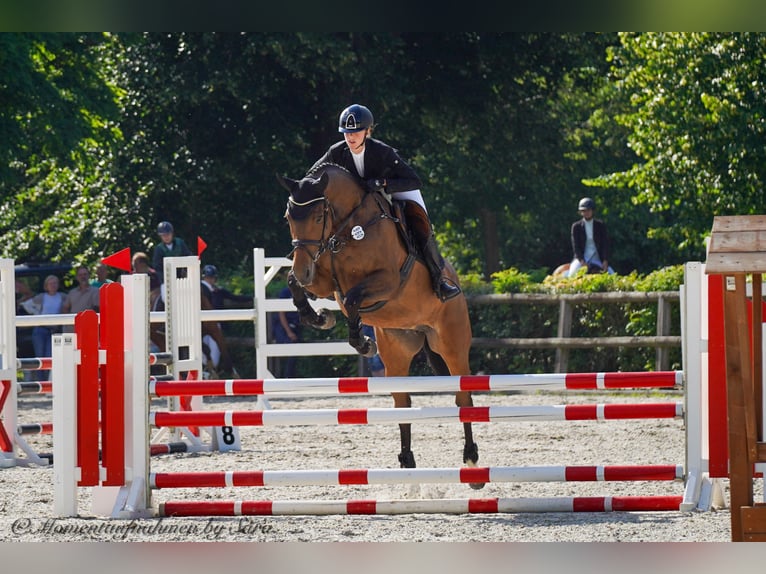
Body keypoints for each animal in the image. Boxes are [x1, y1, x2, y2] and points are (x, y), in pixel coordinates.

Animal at [278, 163, 486, 490]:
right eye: (289, 218)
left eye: (318, 217)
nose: (302, 268)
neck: (347, 229)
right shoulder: (324, 281)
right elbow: (295, 285)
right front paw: (319, 317)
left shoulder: (387, 281)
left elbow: (352, 299)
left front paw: (362, 343)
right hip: (397, 351)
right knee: (403, 401)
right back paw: (408, 466)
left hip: (451, 345)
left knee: (462, 396)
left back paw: (472, 463)